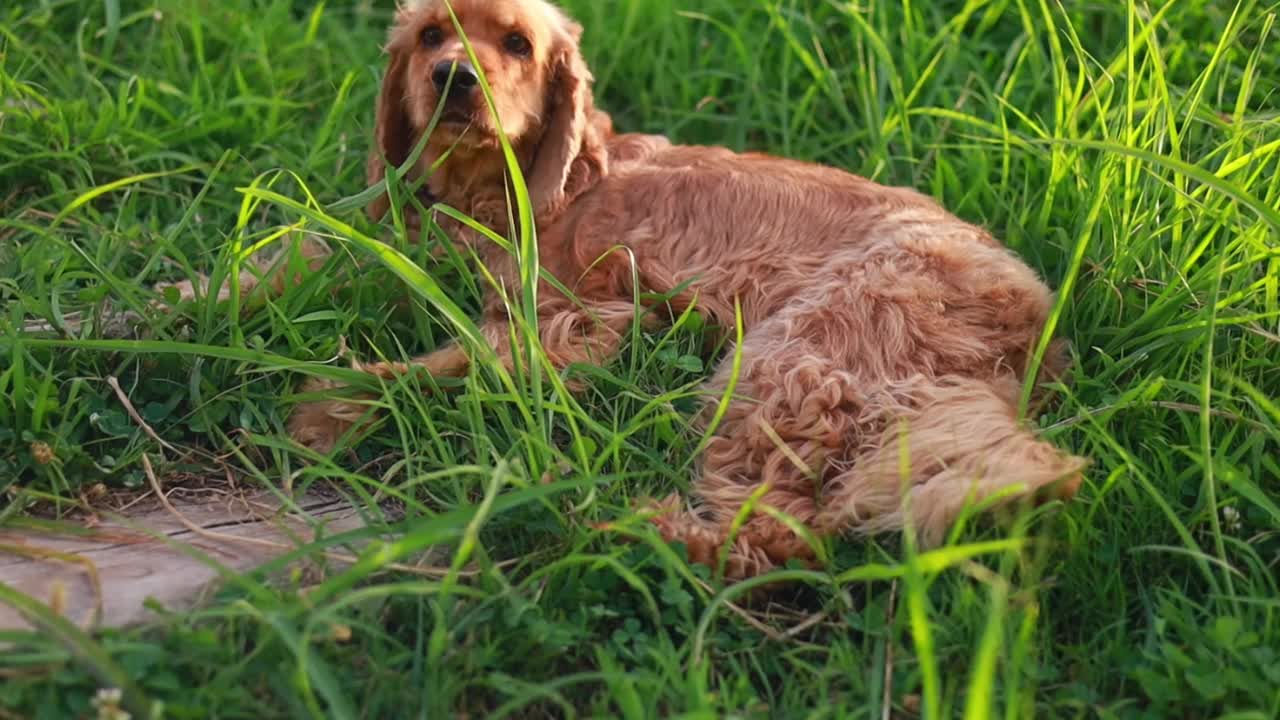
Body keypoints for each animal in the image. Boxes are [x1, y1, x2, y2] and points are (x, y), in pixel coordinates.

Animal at [285, 0, 1085, 573]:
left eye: (516, 45)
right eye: (428, 36)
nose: (453, 77)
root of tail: (1037, 319)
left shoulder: (580, 323)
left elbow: (448, 361)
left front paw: (330, 405)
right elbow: (304, 260)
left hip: (788, 358)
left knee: (783, 534)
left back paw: (623, 530)